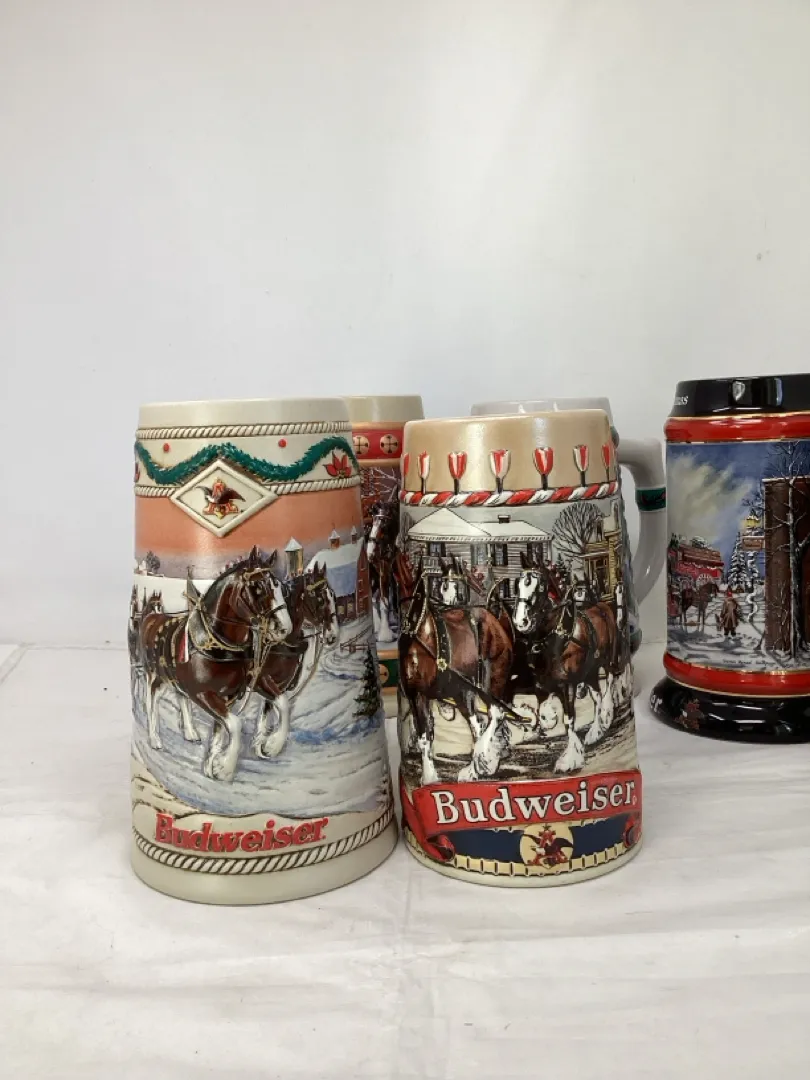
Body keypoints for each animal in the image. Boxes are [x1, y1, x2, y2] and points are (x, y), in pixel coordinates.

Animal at [136, 547, 292, 781]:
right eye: (257, 587)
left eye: (279, 585)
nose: (284, 628)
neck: (220, 647)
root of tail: (151, 617)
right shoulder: (203, 694)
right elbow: (235, 724)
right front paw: (225, 767)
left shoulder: (241, 687)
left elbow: (281, 702)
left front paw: (270, 745)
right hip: (155, 676)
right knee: (151, 700)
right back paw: (155, 739)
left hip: (175, 680)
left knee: (181, 697)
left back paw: (190, 732)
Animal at [250, 562, 339, 759]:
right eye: (321, 599)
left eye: (333, 595)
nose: (333, 635)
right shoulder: (261, 681)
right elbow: (280, 708)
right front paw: (273, 744)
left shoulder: (278, 685)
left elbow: (269, 713)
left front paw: (263, 745)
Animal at [399, 557, 513, 784]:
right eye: (443, 584)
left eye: (462, 585)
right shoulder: (417, 694)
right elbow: (424, 735)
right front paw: (429, 777)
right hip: (465, 690)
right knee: (477, 724)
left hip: (490, 678)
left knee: (495, 713)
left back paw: (480, 761)